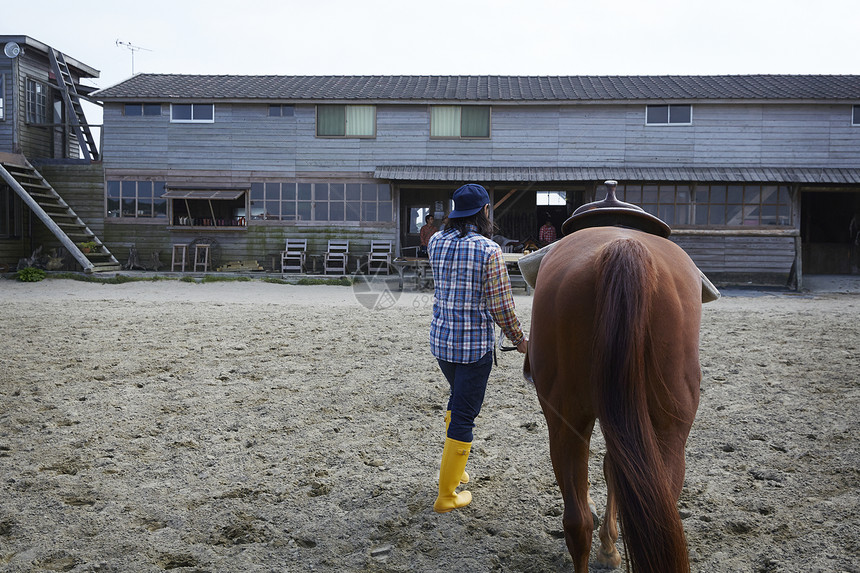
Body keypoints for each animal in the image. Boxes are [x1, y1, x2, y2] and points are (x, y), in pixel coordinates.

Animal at [528, 226, 704, 568]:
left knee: (580, 522)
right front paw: (609, 548)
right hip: (665, 431)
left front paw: (608, 546)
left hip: (570, 424)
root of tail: (624, 247)